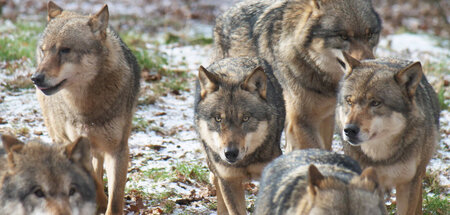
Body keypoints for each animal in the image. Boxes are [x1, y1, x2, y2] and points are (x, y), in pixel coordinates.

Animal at [31, 1, 141, 213]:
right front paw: (98, 201)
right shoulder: (72, 143)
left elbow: (115, 199)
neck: (87, 108)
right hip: (59, 136)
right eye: (44, 50)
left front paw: (106, 204)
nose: (36, 78)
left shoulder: (118, 149)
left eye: (65, 50)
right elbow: (92, 180)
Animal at [213, 0, 382, 151]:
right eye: (343, 36)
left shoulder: (325, 119)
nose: (369, 64)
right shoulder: (299, 122)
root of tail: (224, 15)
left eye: (370, 34)